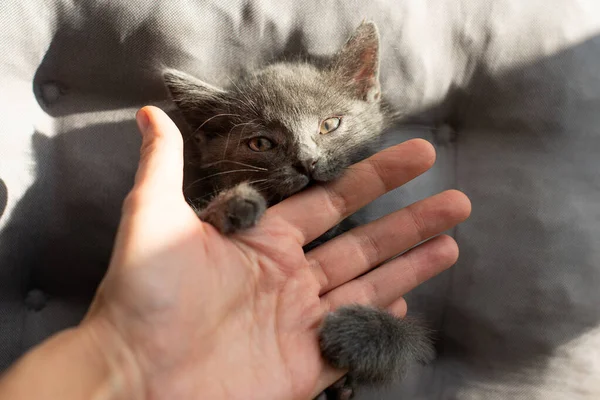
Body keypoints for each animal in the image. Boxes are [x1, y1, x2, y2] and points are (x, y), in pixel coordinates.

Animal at [164, 22, 434, 400]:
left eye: (329, 124)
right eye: (261, 143)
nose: (307, 161)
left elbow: (410, 339)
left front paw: (354, 335)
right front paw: (233, 205)